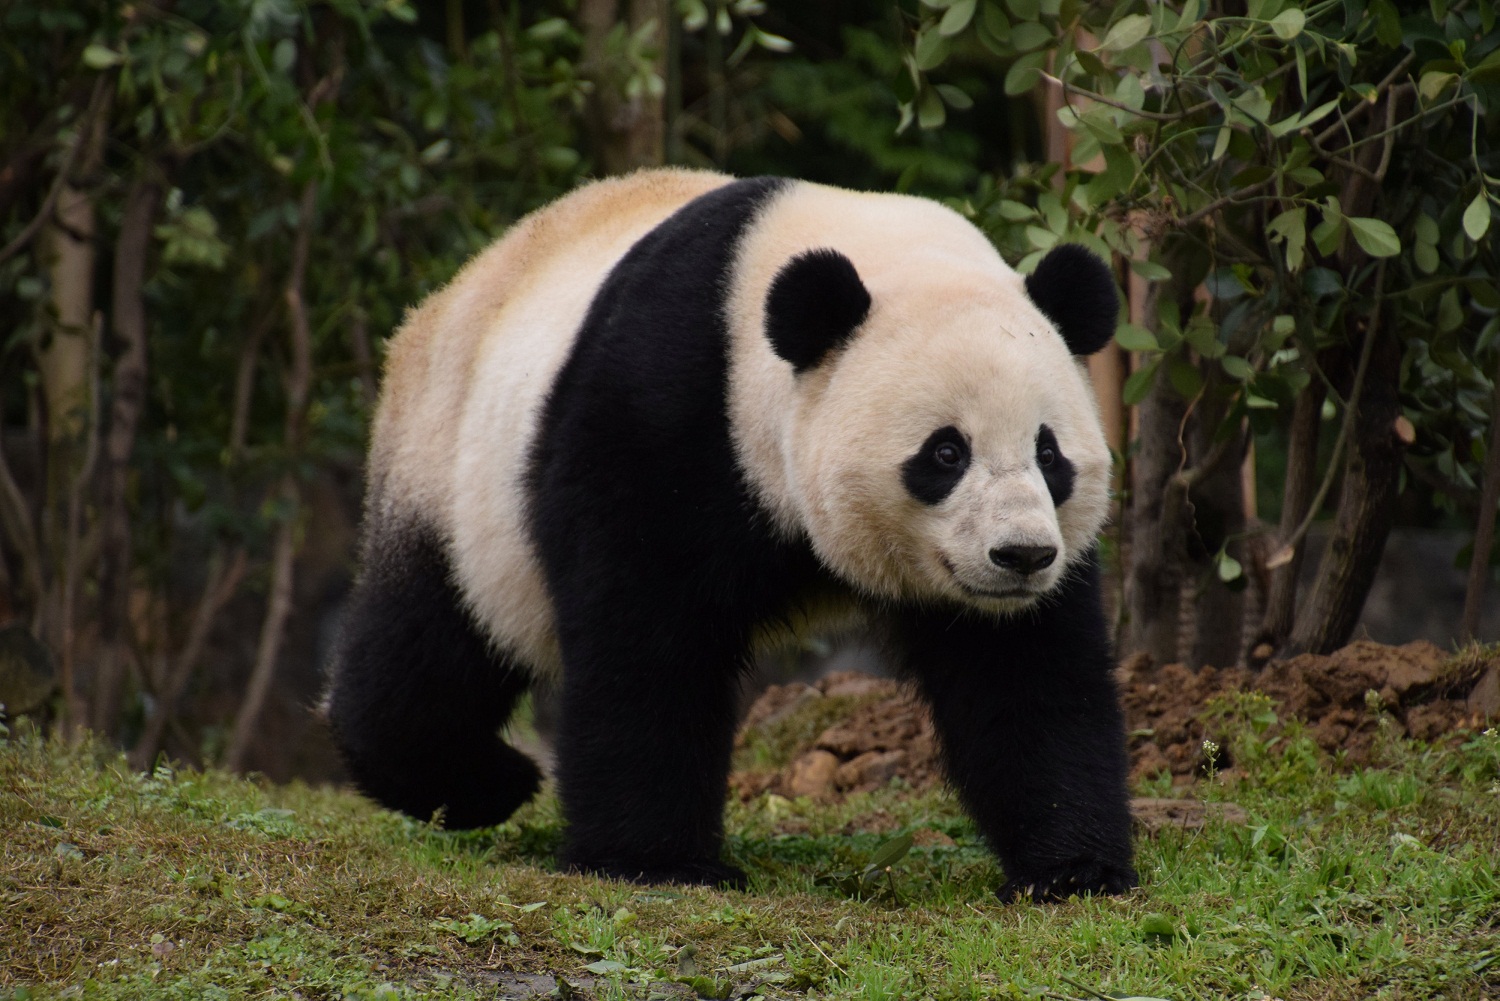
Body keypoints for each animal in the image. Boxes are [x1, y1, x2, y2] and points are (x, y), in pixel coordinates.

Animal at [331, 168, 1134, 906]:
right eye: (945, 452)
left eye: (1050, 454)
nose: (1021, 556)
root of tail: (450, 294)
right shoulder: (663, 410)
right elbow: (646, 640)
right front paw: (657, 863)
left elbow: (1024, 673)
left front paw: (1073, 869)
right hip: (453, 476)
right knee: (429, 646)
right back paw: (480, 783)